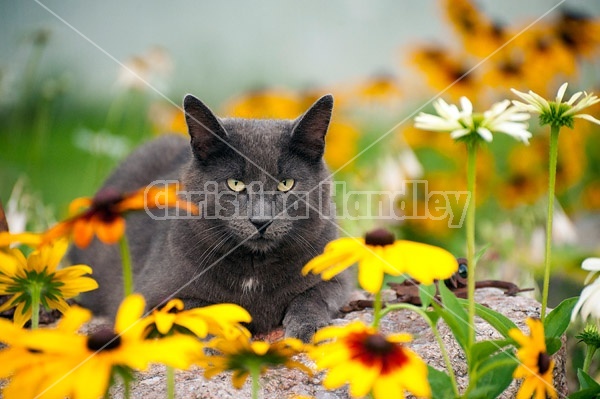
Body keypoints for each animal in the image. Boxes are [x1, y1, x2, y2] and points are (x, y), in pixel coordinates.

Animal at [71, 94, 352, 344]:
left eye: (286, 184)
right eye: (235, 183)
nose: (261, 220)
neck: (254, 269)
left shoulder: (335, 275)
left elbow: (313, 295)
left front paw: (309, 327)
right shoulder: (150, 297)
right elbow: (199, 307)